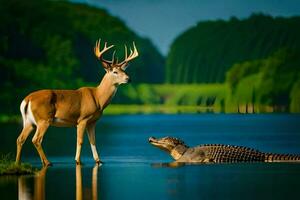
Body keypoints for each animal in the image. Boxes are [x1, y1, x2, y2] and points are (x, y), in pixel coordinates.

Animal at [15, 38, 139, 166]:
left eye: (123, 70)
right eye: (115, 71)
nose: (128, 79)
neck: (98, 98)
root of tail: (27, 99)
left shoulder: (92, 122)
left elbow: (93, 141)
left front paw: (98, 161)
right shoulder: (82, 119)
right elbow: (80, 141)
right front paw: (78, 161)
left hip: (29, 121)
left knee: (20, 139)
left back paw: (17, 163)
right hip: (44, 119)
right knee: (36, 139)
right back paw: (47, 162)